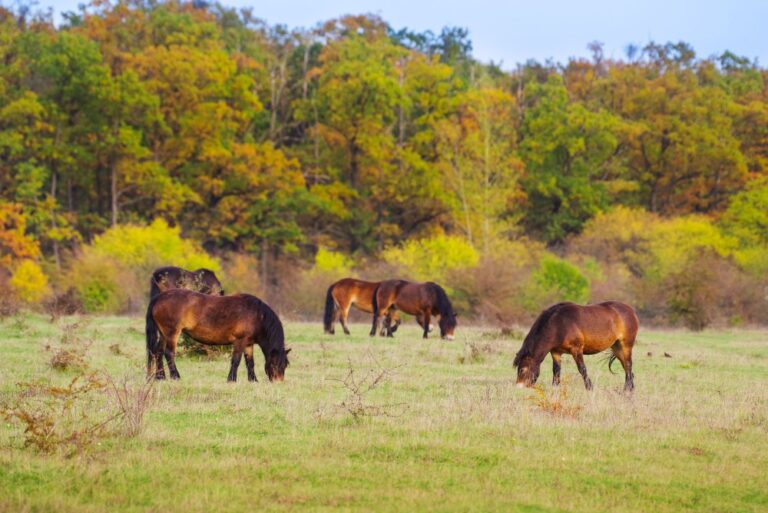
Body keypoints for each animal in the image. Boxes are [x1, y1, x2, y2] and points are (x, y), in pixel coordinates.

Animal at [145, 289, 290, 382]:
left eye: (285, 365)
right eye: (275, 364)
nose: (278, 382)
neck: (256, 315)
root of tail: (159, 297)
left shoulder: (248, 344)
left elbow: (250, 362)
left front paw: (253, 380)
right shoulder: (240, 341)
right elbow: (236, 360)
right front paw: (231, 379)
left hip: (163, 334)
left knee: (158, 352)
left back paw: (160, 377)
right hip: (172, 334)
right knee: (169, 353)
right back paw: (175, 377)